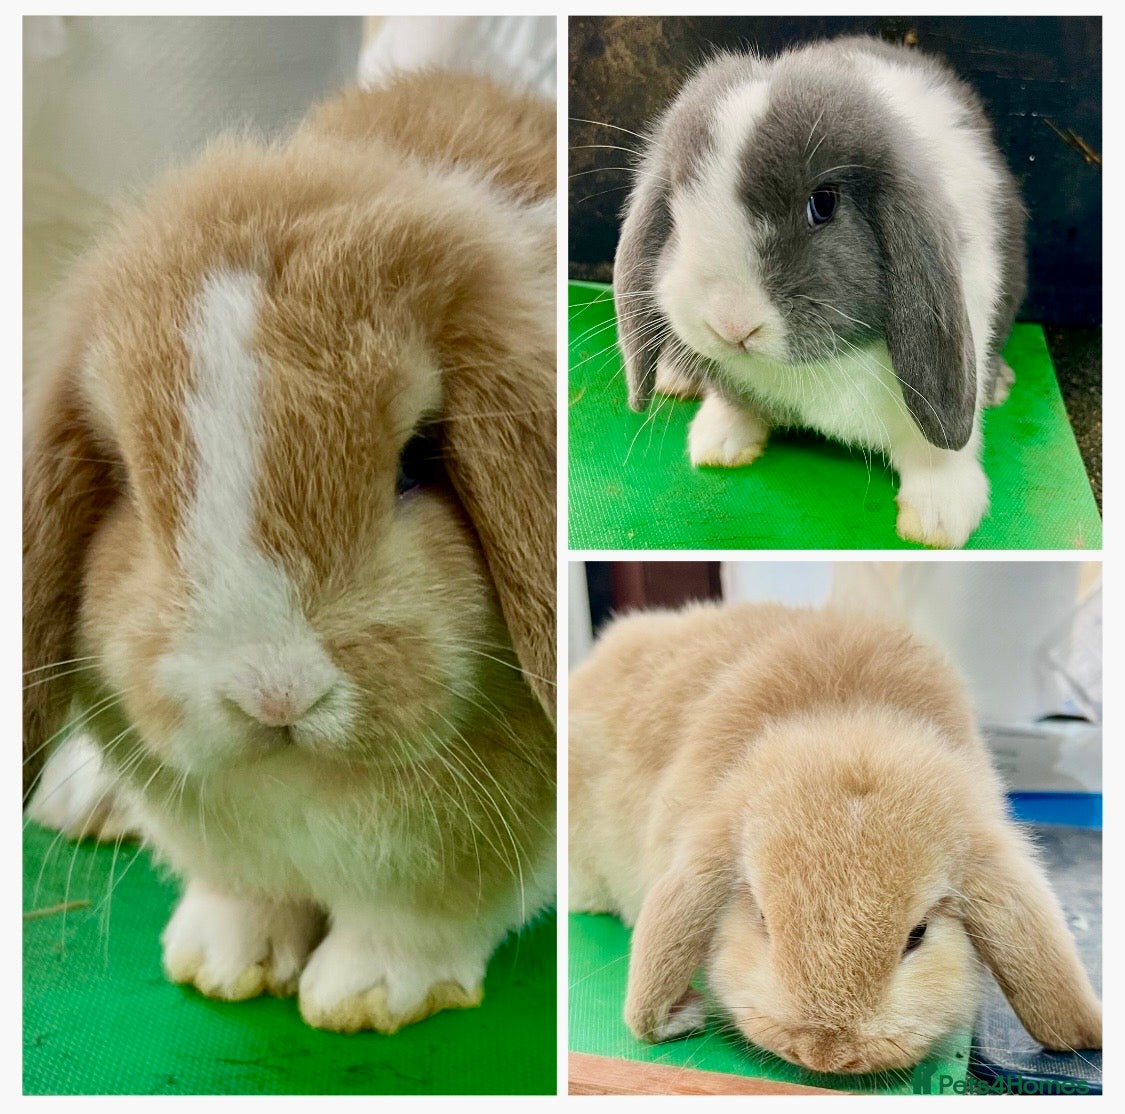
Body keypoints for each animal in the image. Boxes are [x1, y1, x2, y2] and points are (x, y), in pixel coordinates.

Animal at [23, 70, 557, 1034]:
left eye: (418, 459)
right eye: (126, 481)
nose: (275, 695)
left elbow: (416, 922)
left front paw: (366, 995)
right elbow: (242, 896)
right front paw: (220, 964)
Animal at [614, 36, 1027, 548]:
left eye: (824, 204)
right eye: (675, 206)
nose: (731, 324)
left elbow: (940, 451)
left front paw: (939, 519)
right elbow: (733, 402)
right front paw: (719, 442)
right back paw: (676, 377)